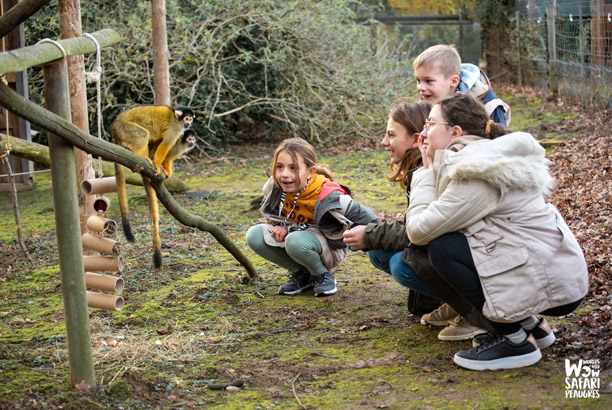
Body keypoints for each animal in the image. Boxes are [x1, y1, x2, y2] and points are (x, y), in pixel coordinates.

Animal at [111, 104, 195, 268]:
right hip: (125, 129)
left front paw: (166, 170)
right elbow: (165, 147)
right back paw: (142, 157)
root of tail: (113, 127)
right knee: (144, 134)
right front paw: (158, 164)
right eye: (187, 119)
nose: (189, 124)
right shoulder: (175, 130)